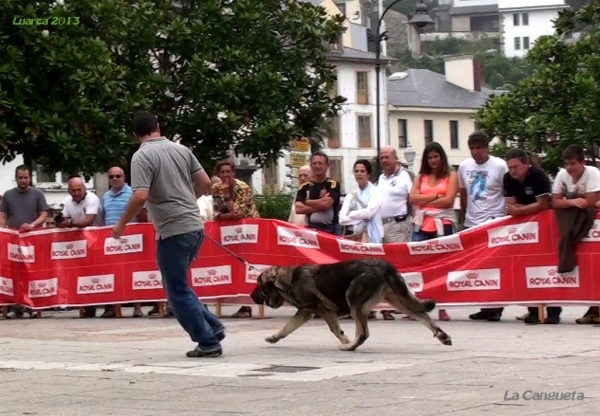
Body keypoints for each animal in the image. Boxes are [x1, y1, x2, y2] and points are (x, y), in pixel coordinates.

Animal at [248, 256, 450, 352]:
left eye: (258, 285)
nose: (250, 296)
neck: (288, 280)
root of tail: (386, 266)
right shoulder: (305, 312)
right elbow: (287, 328)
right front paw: (274, 337)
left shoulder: (323, 311)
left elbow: (335, 330)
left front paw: (345, 341)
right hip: (399, 300)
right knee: (423, 315)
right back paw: (442, 336)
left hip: (354, 299)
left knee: (363, 333)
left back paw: (350, 346)